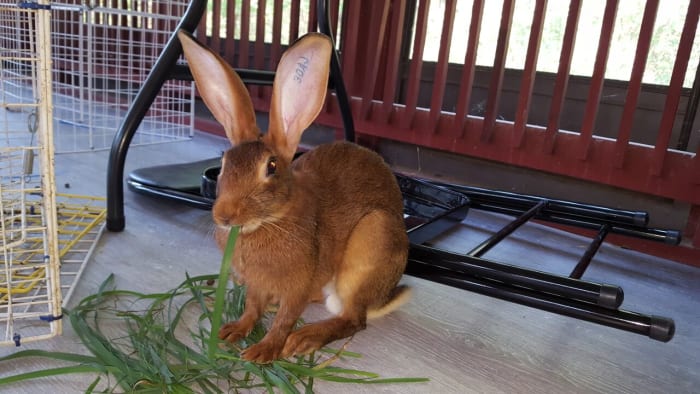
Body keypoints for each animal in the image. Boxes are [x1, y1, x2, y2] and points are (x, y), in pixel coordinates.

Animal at [175, 30, 412, 364]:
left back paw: (305, 339)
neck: (271, 219)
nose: (225, 215)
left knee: (354, 319)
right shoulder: (257, 285)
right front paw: (232, 331)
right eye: (223, 163)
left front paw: (263, 351)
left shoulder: (297, 285)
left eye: (271, 167)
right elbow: (252, 308)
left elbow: (285, 319)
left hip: (373, 243)